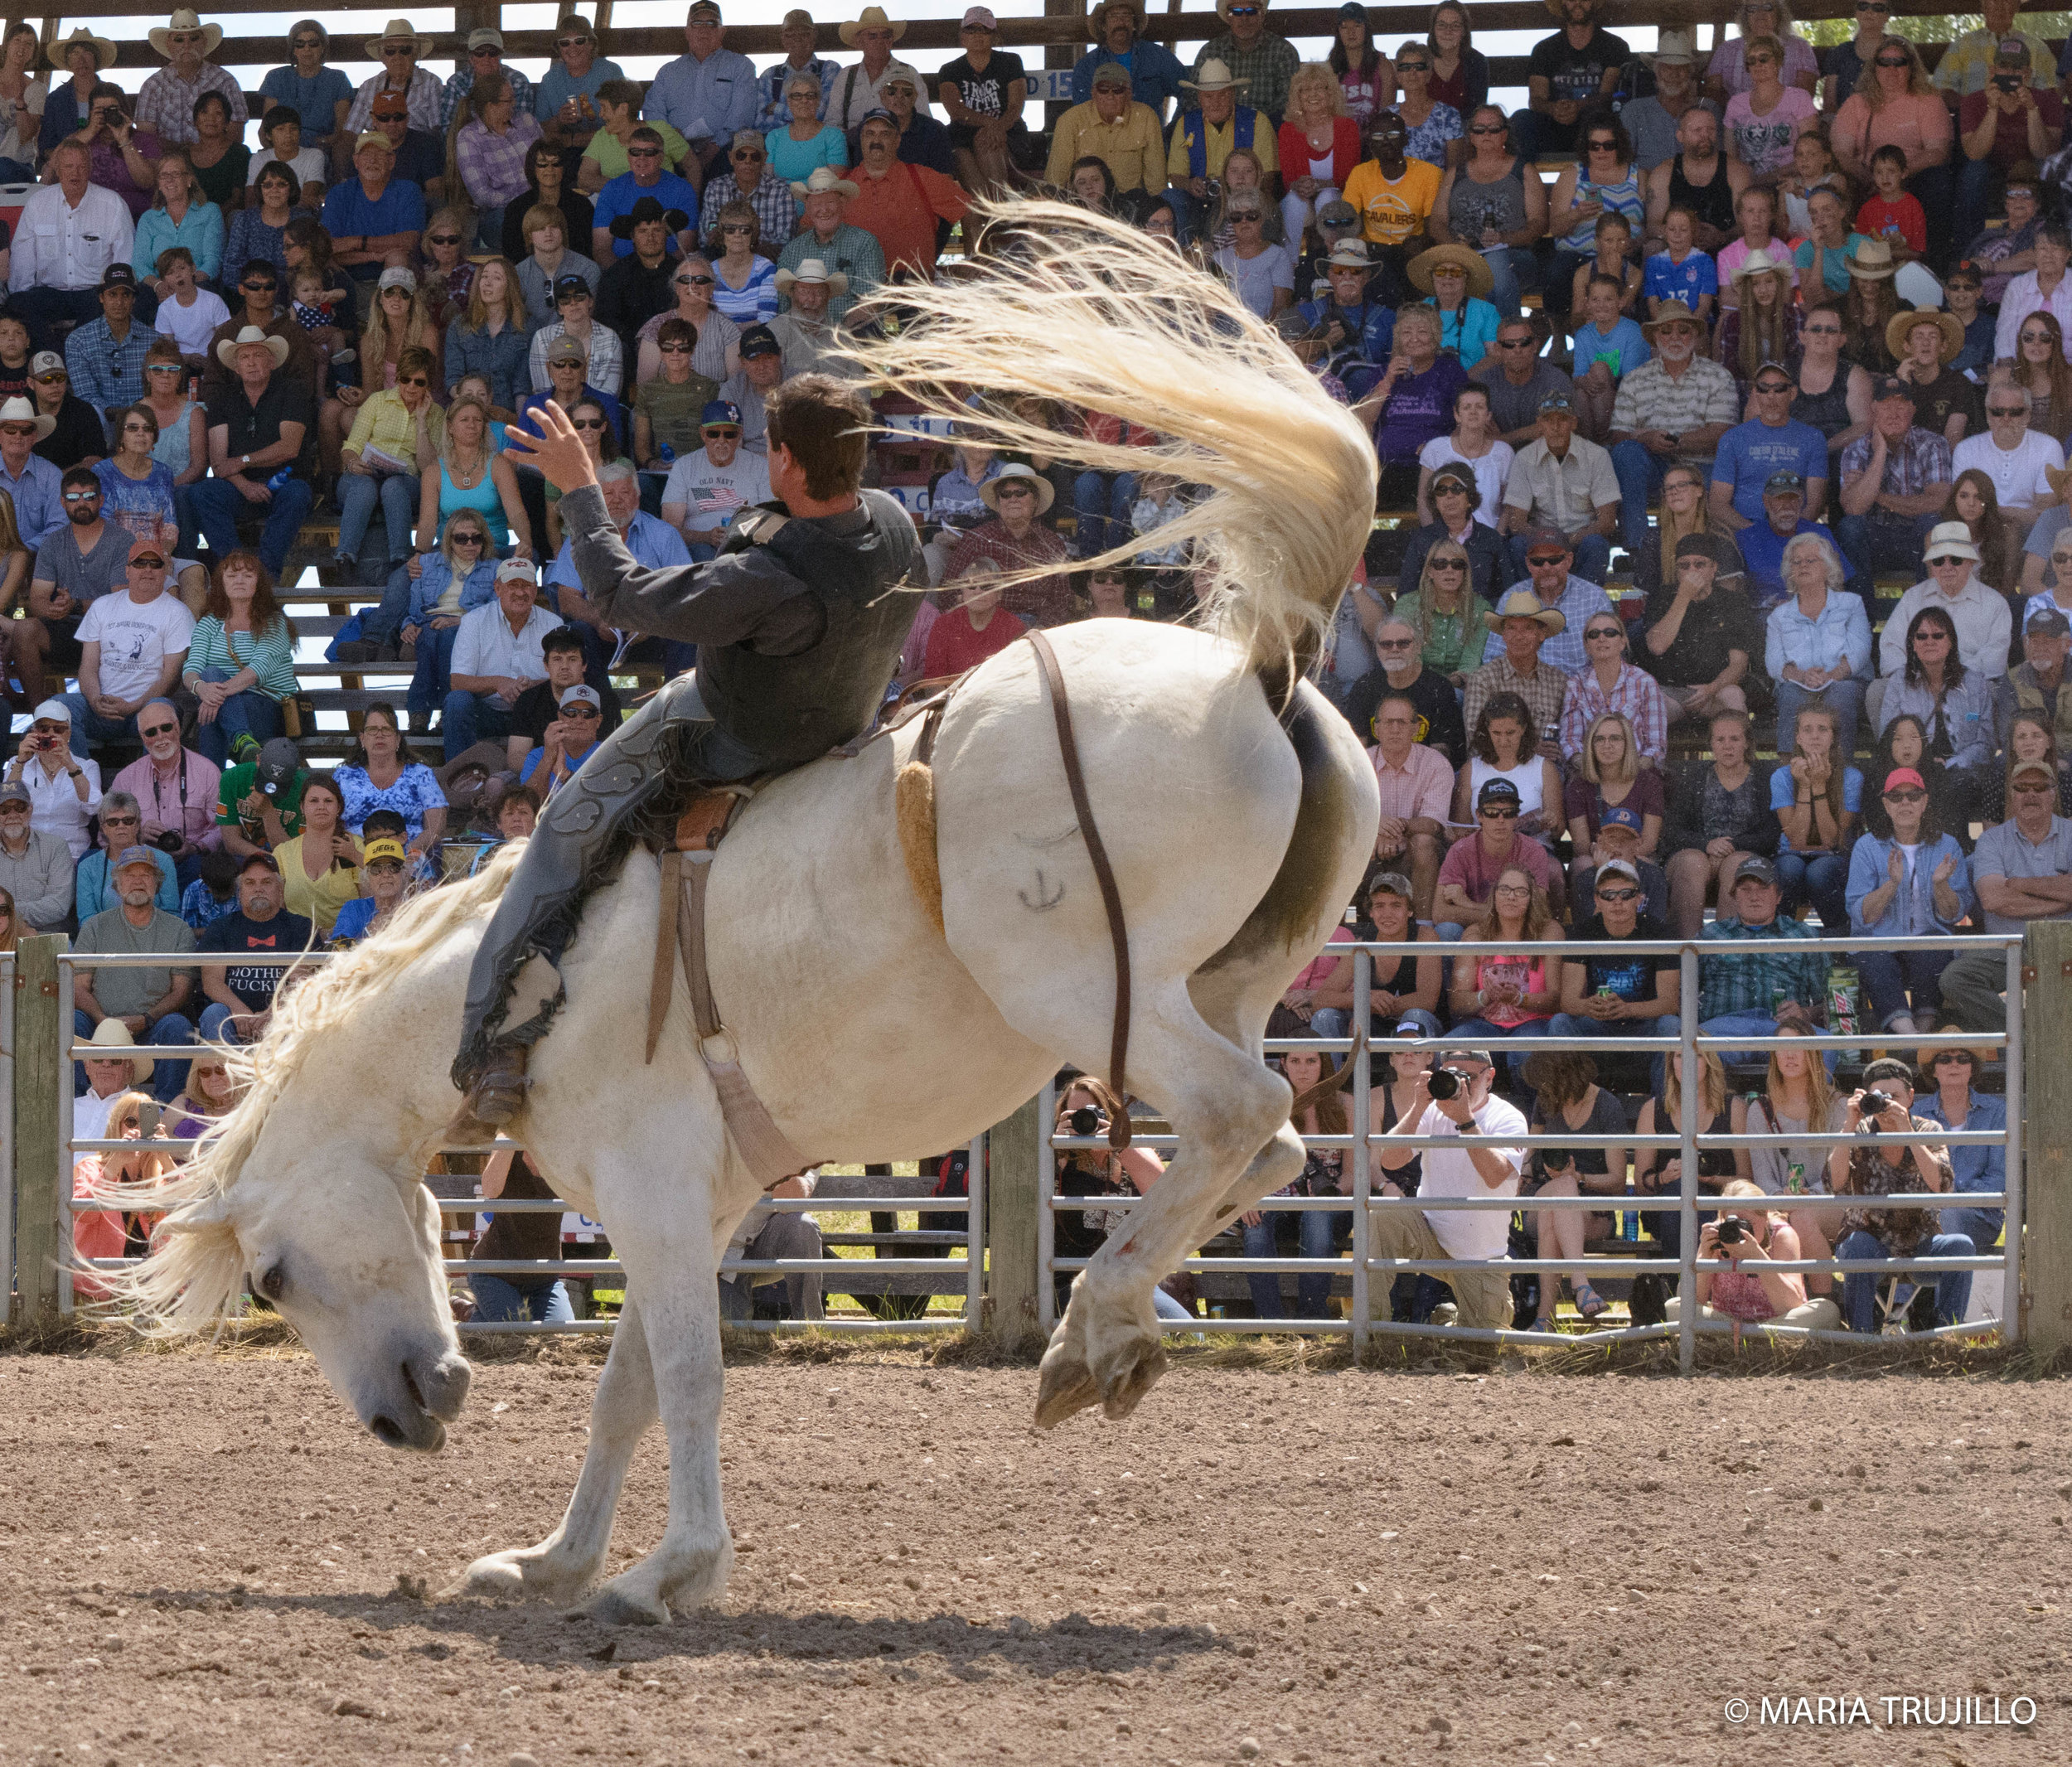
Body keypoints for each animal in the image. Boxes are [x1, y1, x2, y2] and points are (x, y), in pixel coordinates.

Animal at [109, 202, 1376, 1615]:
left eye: (275, 1276)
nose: (409, 1415)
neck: (518, 983)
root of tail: (1263, 670)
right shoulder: (692, 1202)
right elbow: (630, 1393)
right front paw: (556, 1562)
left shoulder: (652, 1189)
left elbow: (690, 1382)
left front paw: (667, 1572)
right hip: (1219, 988)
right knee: (1269, 1145)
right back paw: (1112, 1335)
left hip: (1092, 992)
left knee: (1240, 1118)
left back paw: (1087, 1328)